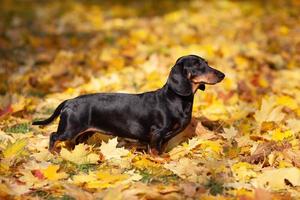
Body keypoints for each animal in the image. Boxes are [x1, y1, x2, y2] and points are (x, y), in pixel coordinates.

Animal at [33, 55, 225, 154]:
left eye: (207, 63)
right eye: (198, 65)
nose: (222, 75)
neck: (175, 99)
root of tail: (69, 101)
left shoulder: (163, 137)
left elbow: (160, 149)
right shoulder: (157, 133)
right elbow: (155, 151)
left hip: (84, 132)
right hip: (69, 129)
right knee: (53, 136)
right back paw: (54, 153)